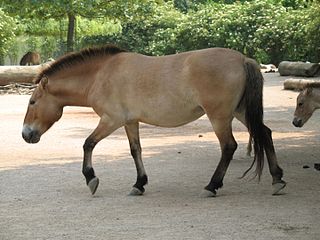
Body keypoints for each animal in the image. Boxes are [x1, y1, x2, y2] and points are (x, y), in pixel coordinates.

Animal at [22, 45, 288, 197]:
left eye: (32, 102)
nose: (26, 134)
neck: (100, 74)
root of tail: (244, 60)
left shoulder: (111, 120)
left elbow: (88, 144)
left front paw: (91, 179)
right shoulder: (130, 122)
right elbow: (135, 150)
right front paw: (139, 184)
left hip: (220, 116)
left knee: (229, 146)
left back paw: (212, 186)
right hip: (240, 112)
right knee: (265, 133)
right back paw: (277, 179)